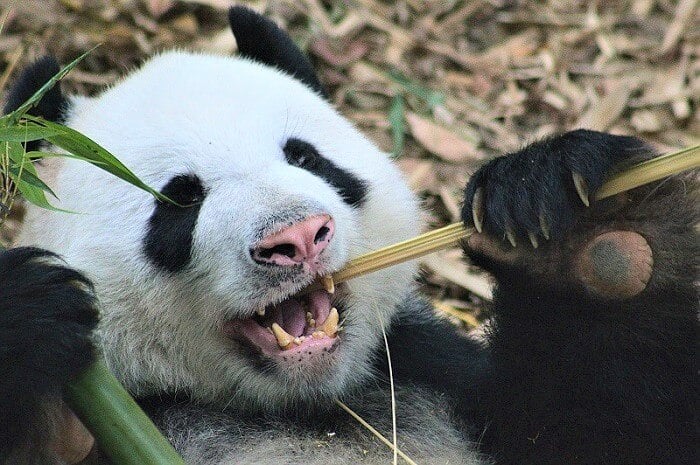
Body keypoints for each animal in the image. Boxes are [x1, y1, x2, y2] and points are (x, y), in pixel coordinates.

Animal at [1, 6, 700, 464]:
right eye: (180, 199)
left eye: (306, 157)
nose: (298, 238)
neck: (308, 408)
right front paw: (28, 318)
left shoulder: (425, 376)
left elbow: (606, 429)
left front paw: (580, 230)